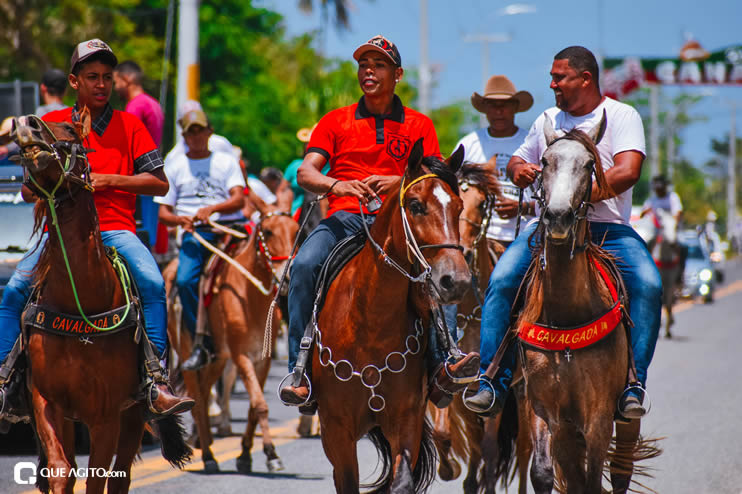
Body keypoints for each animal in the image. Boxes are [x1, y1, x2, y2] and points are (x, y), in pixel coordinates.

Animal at [13, 114, 192, 492]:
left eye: (70, 130)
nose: (26, 124)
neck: (79, 302)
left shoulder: (106, 414)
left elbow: (98, 478)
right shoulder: (46, 403)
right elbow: (61, 470)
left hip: (134, 415)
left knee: (121, 473)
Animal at [166, 205, 300, 474]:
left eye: (295, 230)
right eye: (269, 231)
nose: (288, 275)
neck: (250, 296)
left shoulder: (261, 359)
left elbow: (253, 408)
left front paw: (247, 454)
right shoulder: (241, 356)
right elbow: (259, 404)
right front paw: (270, 453)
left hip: (218, 357)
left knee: (205, 392)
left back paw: (206, 440)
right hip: (186, 354)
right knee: (198, 398)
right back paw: (208, 456)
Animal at [308, 140, 470, 494]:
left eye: (459, 207)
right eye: (415, 205)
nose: (456, 280)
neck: (371, 323)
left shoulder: (406, 417)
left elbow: (402, 481)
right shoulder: (336, 429)